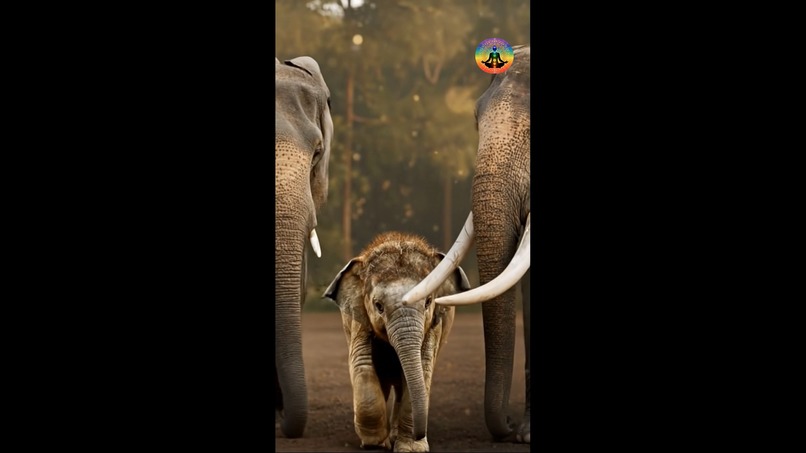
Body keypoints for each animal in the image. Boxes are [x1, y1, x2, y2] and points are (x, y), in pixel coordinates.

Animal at [324, 231, 471, 452]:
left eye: (428, 302)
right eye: (378, 306)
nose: (420, 433)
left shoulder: (434, 324)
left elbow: (423, 367)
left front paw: (410, 449)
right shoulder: (359, 316)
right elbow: (362, 363)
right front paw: (374, 444)